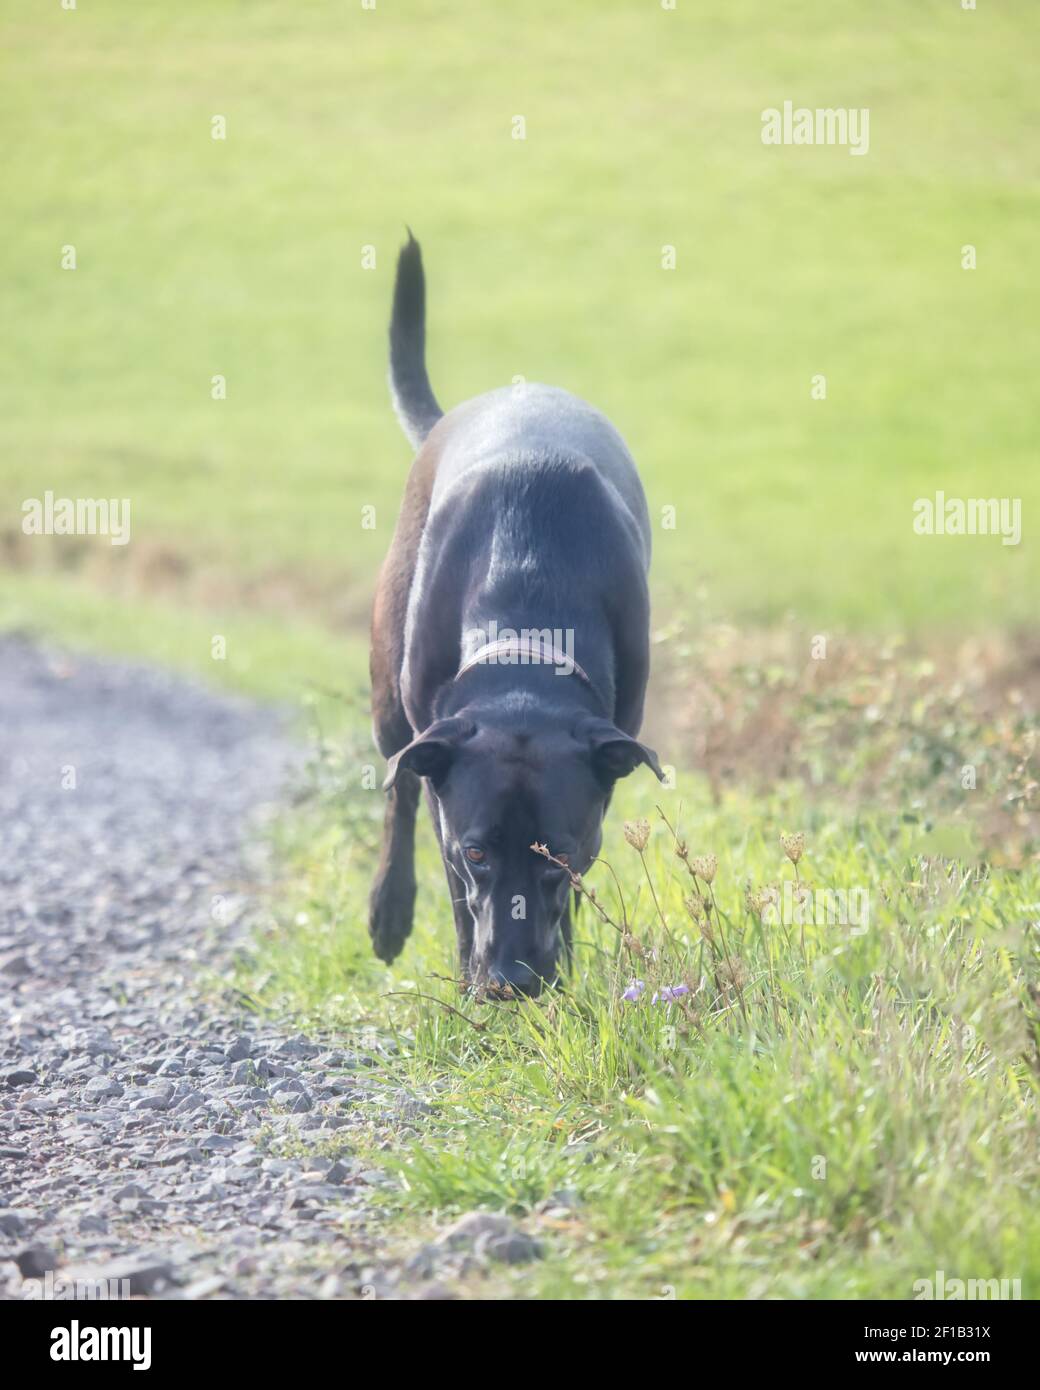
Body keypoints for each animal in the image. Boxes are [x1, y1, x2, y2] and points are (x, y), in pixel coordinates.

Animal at [369, 241, 661, 1000]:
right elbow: (451, 884)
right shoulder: (445, 795)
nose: (512, 981)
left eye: (559, 855)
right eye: (477, 852)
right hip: (389, 696)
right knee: (397, 788)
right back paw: (388, 910)